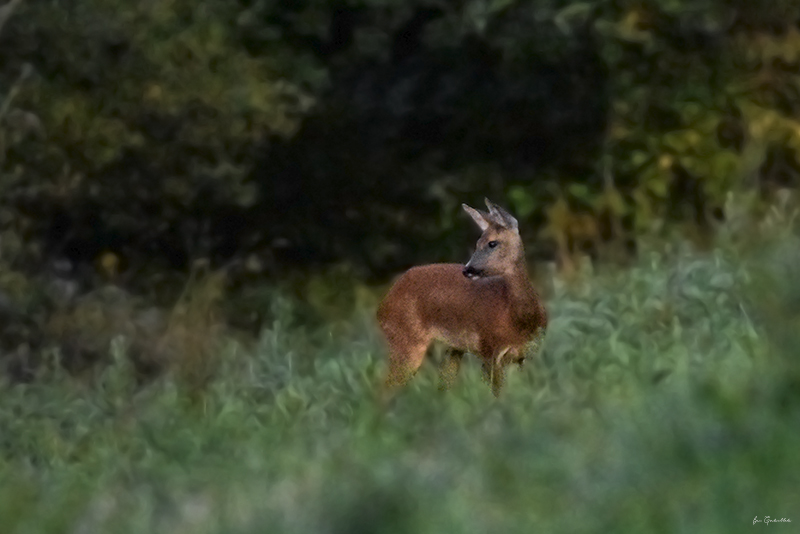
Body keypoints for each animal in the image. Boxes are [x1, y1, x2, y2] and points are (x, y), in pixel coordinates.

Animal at [378, 199, 548, 400]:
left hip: (450, 349)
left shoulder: (529, 354)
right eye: (477, 242)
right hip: (406, 341)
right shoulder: (489, 351)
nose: (468, 269)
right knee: (384, 388)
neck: (519, 319)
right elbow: (498, 395)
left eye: (492, 243)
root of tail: (382, 307)